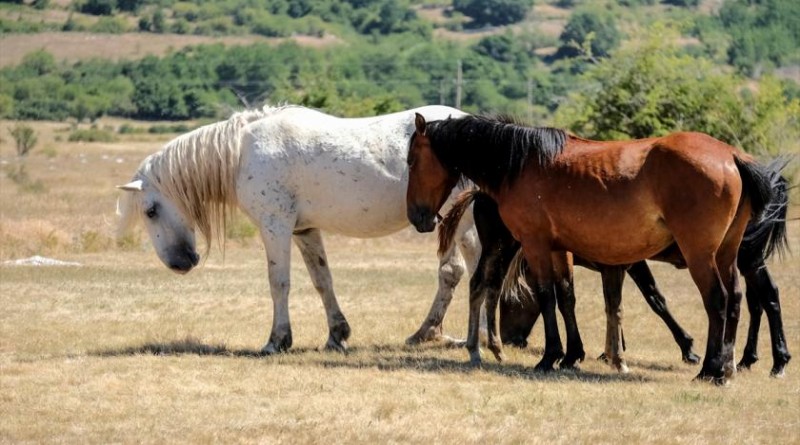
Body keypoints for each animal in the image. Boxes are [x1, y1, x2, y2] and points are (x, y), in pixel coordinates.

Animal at [116, 104, 482, 354]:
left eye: (150, 211)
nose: (181, 263)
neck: (242, 152)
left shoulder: (275, 226)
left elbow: (279, 282)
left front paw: (277, 340)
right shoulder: (304, 231)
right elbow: (322, 281)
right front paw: (337, 335)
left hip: (455, 222)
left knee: (455, 271)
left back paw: (434, 333)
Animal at [406, 112, 776, 382]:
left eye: (411, 160)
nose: (417, 215)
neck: (522, 163)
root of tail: (731, 156)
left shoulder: (536, 244)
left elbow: (547, 295)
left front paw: (551, 356)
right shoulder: (559, 249)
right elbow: (566, 296)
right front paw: (573, 355)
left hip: (701, 254)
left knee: (718, 300)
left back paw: (711, 369)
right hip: (727, 254)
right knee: (736, 300)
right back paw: (727, 366)